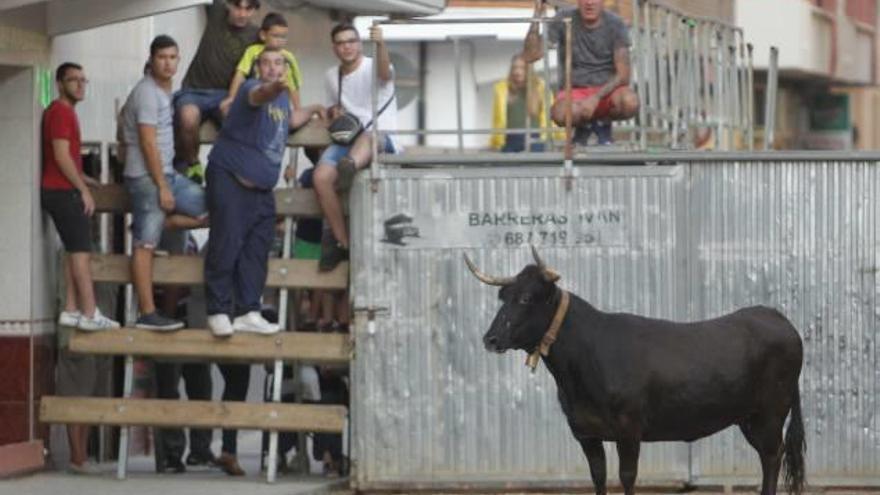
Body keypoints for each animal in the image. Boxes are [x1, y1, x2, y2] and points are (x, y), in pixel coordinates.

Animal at [468, 250, 804, 495]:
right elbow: (598, 476)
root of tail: (777, 317)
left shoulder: (629, 428)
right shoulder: (584, 431)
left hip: (772, 412)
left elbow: (627, 477)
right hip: (749, 417)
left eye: (526, 298)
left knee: (773, 456)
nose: (490, 339)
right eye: (502, 298)